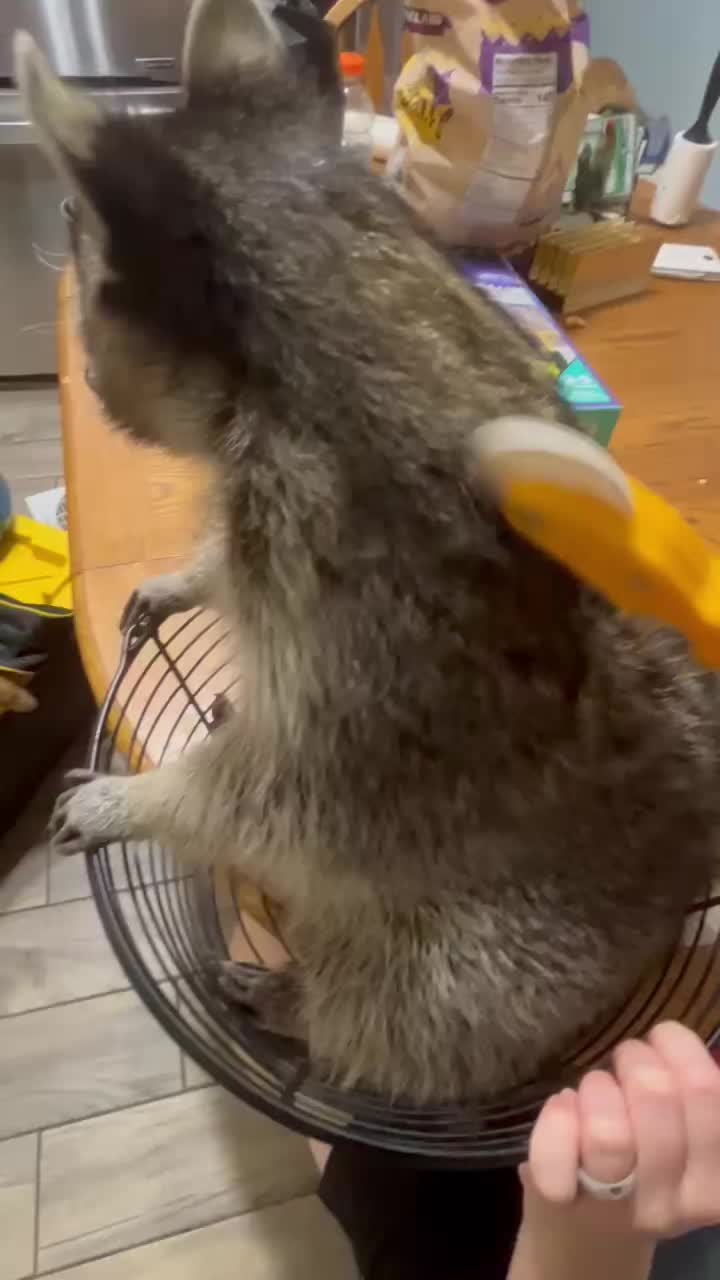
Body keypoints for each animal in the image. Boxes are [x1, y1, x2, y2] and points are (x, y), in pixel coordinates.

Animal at [18, 0, 720, 1103]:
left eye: (91, 287)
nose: (85, 377)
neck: (343, 280)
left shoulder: (370, 637)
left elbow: (277, 798)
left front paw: (142, 798)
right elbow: (225, 574)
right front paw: (187, 576)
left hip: (513, 952)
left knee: (405, 998)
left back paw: (307, 1008)